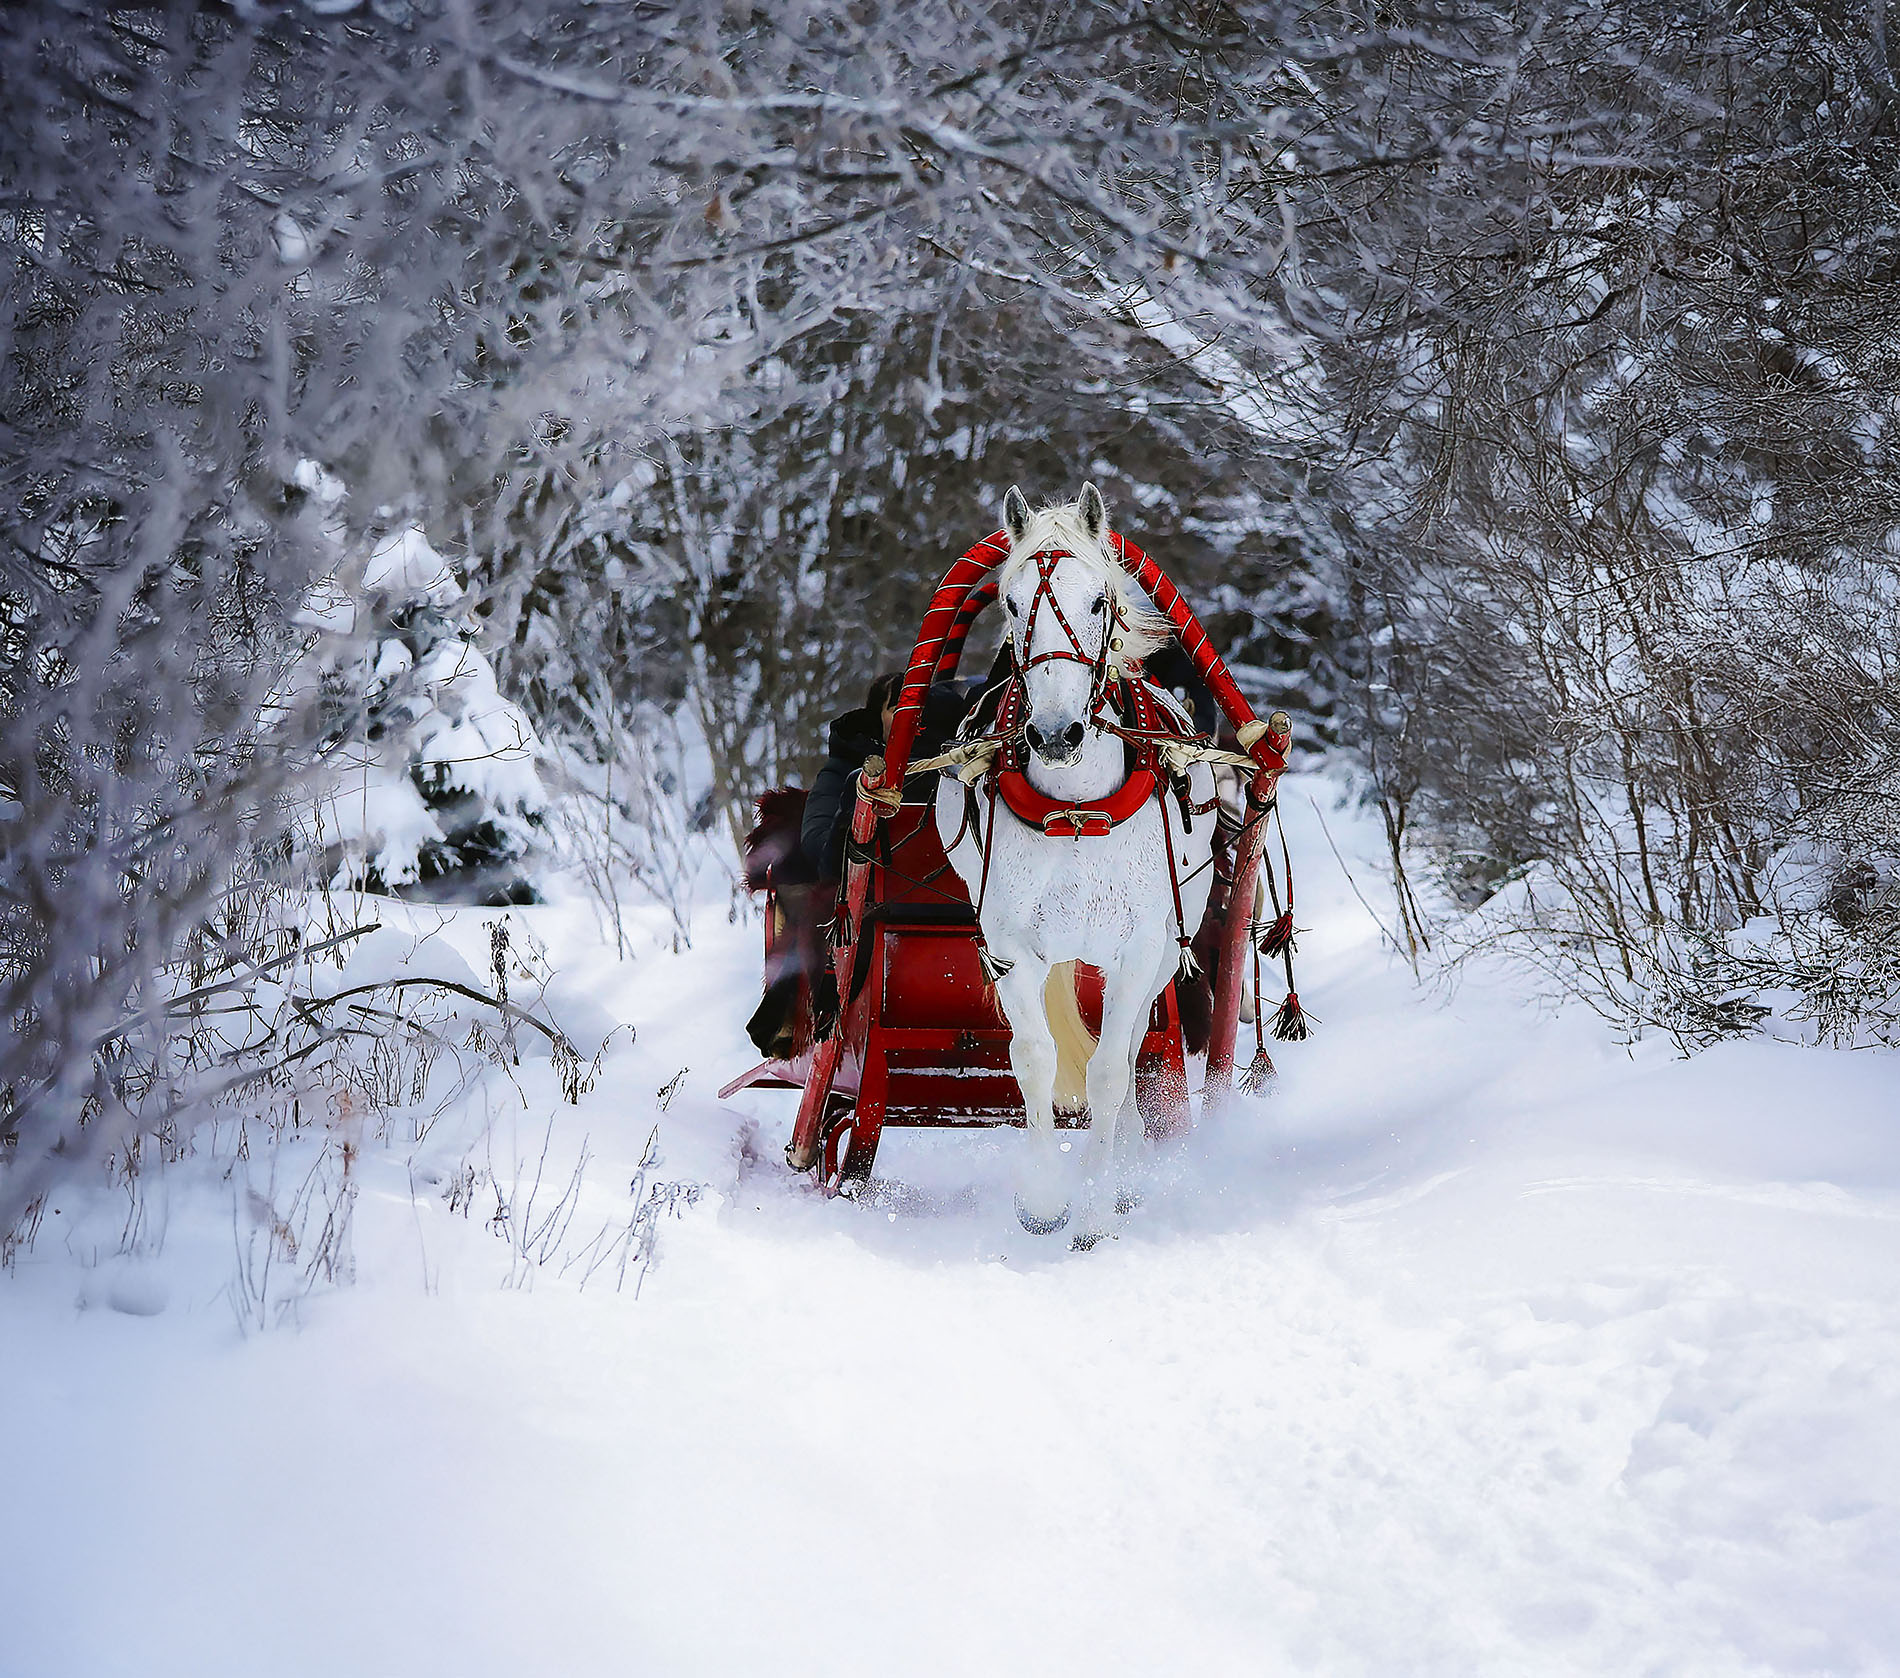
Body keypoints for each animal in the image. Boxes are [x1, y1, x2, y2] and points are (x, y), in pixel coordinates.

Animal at [934, 478, 1216, 1239]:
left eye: (1097, 602)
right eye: (1010, 603)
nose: (1056, 735)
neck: (1076, 812)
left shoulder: (1136, 948)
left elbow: (1112, 1072)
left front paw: (1095, 1207)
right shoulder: (1010, 951)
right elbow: (1035, 1059)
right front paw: (1042, 1200)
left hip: (1160, 950)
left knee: (1128, 1046)